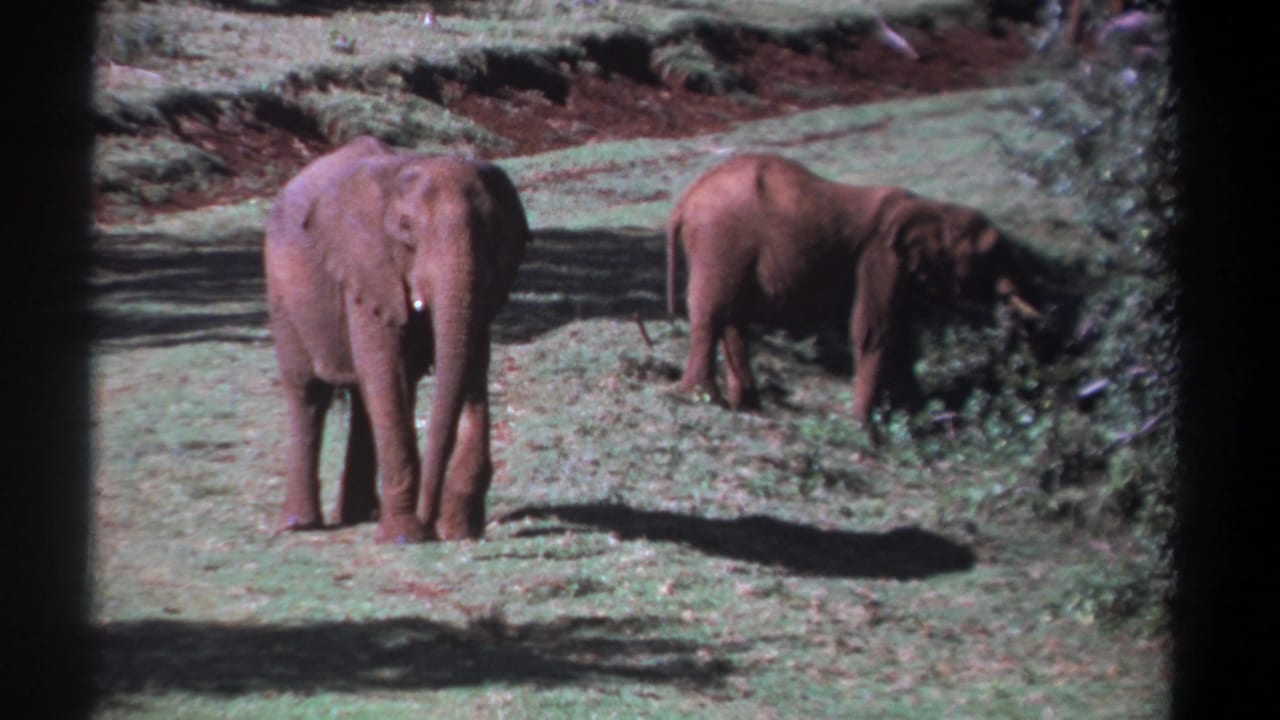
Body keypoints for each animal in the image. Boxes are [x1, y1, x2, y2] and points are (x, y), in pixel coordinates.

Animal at [264, 135, 531, 543]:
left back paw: (360, 514)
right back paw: (299, 525)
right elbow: (386, 371)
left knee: (363, 397)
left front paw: (459, 530)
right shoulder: (366, 268)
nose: (430, 519)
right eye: (406, 228)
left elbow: (472, 367)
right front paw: (405, 536)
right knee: (309, 393)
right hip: (283, 296)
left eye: (491, 230)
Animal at [666, 153, 1039, 428]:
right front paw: (864, 424)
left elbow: (904, 335)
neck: (937, 210)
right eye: (990, 255)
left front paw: (911, 417)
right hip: (721, 239)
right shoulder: (880, 257)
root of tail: (686, 200)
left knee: (733, 318)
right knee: (712, 313)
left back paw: (748, 407)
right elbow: (875, 329)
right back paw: (701, 398)